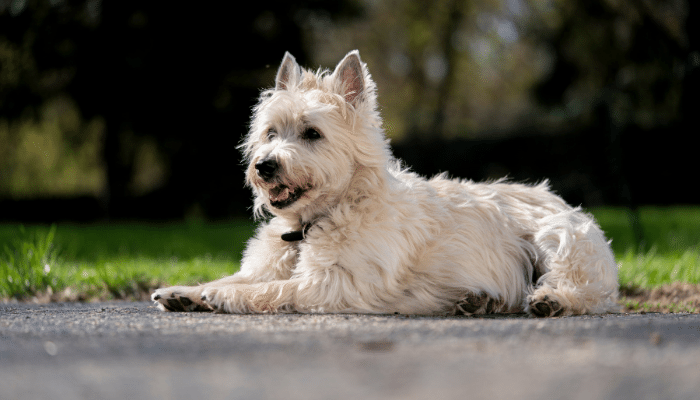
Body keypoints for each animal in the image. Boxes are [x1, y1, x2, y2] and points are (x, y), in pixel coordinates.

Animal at [153, 50, 616, 318]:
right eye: (270, 132)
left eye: (312, 133)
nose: (264, 166)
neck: (313, 223)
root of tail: (558, 198)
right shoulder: (272, 266)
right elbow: (235, 278)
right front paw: (187, 291)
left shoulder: (333, 284)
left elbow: (270, 289)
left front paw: (222, 300)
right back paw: (480, 301)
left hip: (559, 238)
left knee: (584, 291)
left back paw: (551, 301)